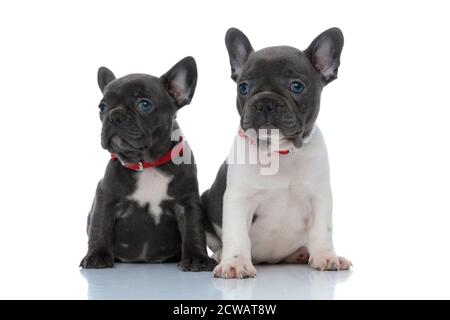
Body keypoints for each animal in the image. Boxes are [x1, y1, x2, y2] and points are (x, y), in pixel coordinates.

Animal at [81, 56, 218, 272]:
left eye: (144, 104)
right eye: (102, 107)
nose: (114, 116)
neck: (146, 164)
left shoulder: (187, 202)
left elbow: (193, 229)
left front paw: (197, 258)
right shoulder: (105, 197)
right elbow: (99, 226)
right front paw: (97, 256)